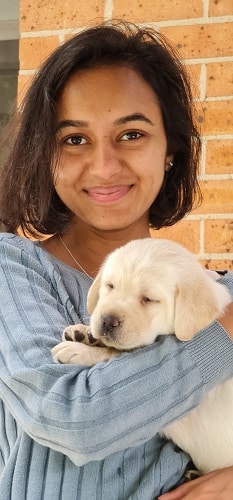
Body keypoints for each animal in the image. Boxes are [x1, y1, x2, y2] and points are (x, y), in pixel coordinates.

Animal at [52, 238, 232, 472]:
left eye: (148, 299)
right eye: (110, 286)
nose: (107, 320)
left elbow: (115, 353)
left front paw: (78, 350)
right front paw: (83, 333)